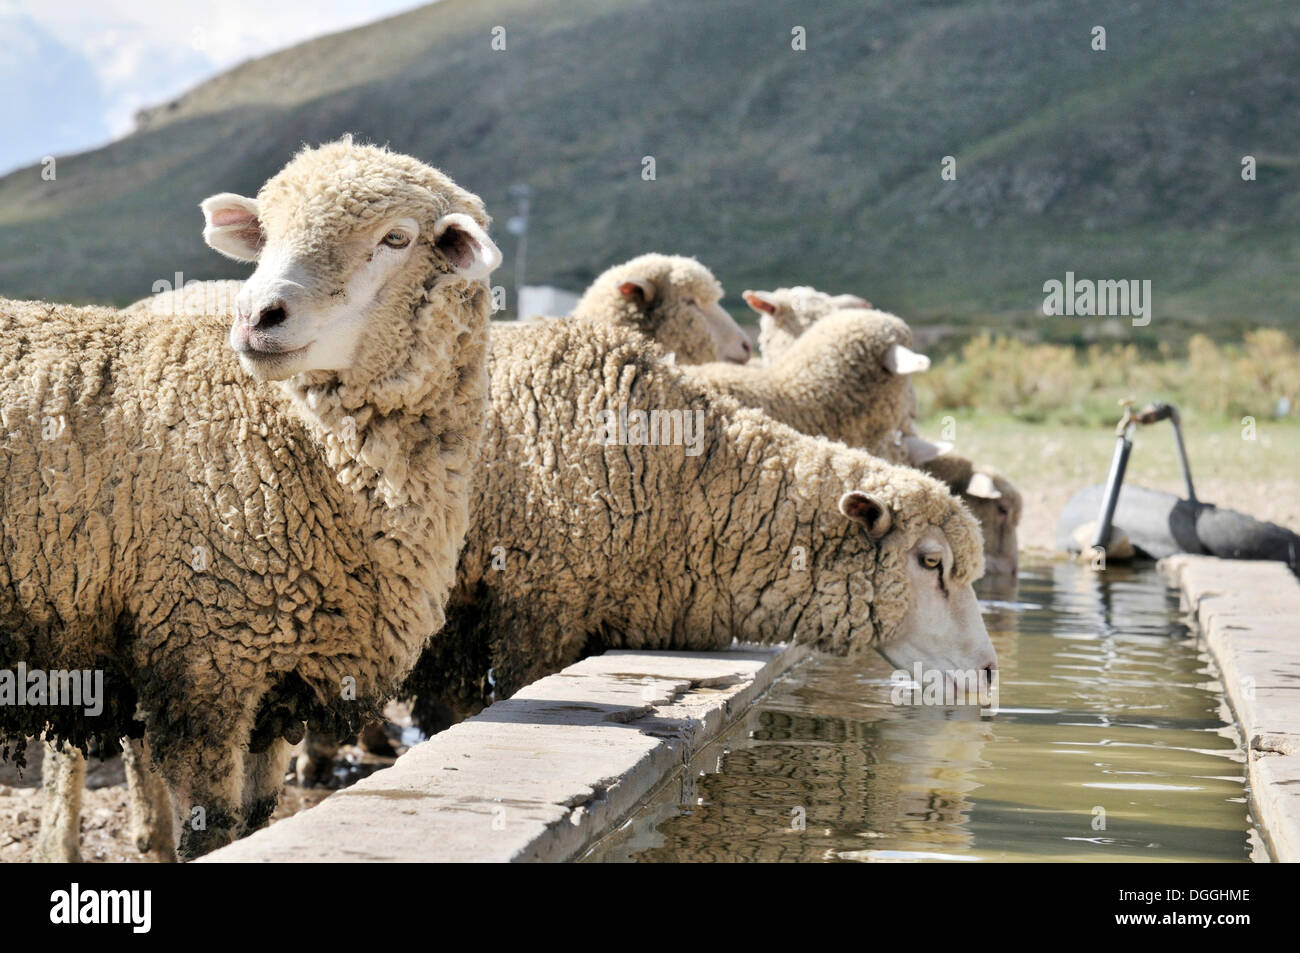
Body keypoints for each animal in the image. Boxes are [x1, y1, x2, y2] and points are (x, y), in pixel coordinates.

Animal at [0, 137, 499, 858]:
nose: (257, 315)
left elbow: (258, 816)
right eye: (265, 234)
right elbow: (213, 827)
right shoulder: (203, 658)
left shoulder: (275, 673)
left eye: (396, 238)